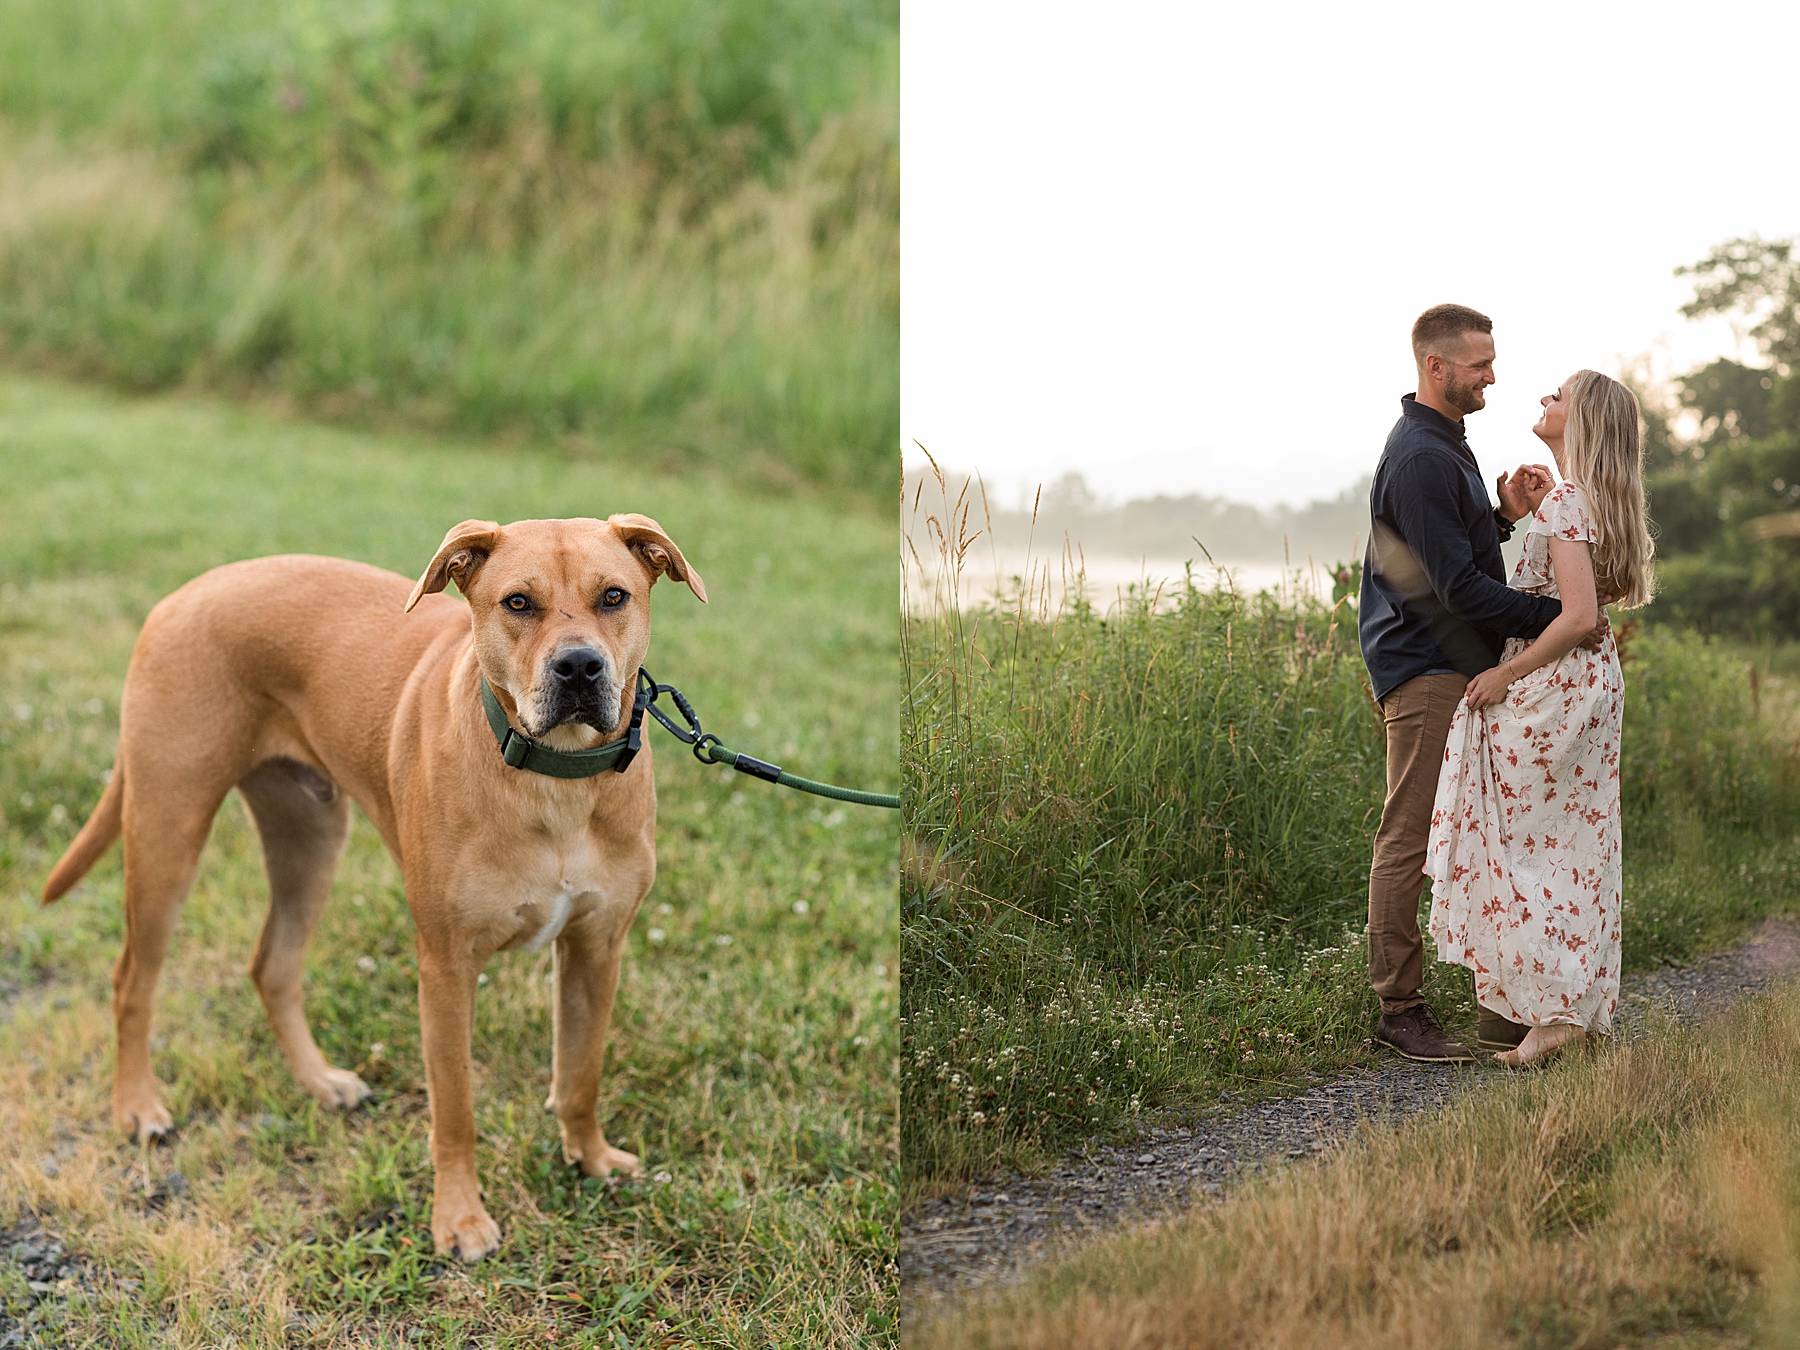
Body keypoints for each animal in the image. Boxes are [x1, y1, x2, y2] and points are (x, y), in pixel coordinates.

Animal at [42, 514, 702, 1260]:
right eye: (518, 603)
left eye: (615, 596)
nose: (581, 667)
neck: (554, 778)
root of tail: (186, 592)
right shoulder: (446, 967)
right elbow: (455, 1108)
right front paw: (459, 1218)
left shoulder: (598, 947)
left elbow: (581, 1073)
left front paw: (589, 1159)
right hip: (168, 829)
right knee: (133, 979)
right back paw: (137, 1107)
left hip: (310, 839)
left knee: (272, 965)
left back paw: (319, 1082)